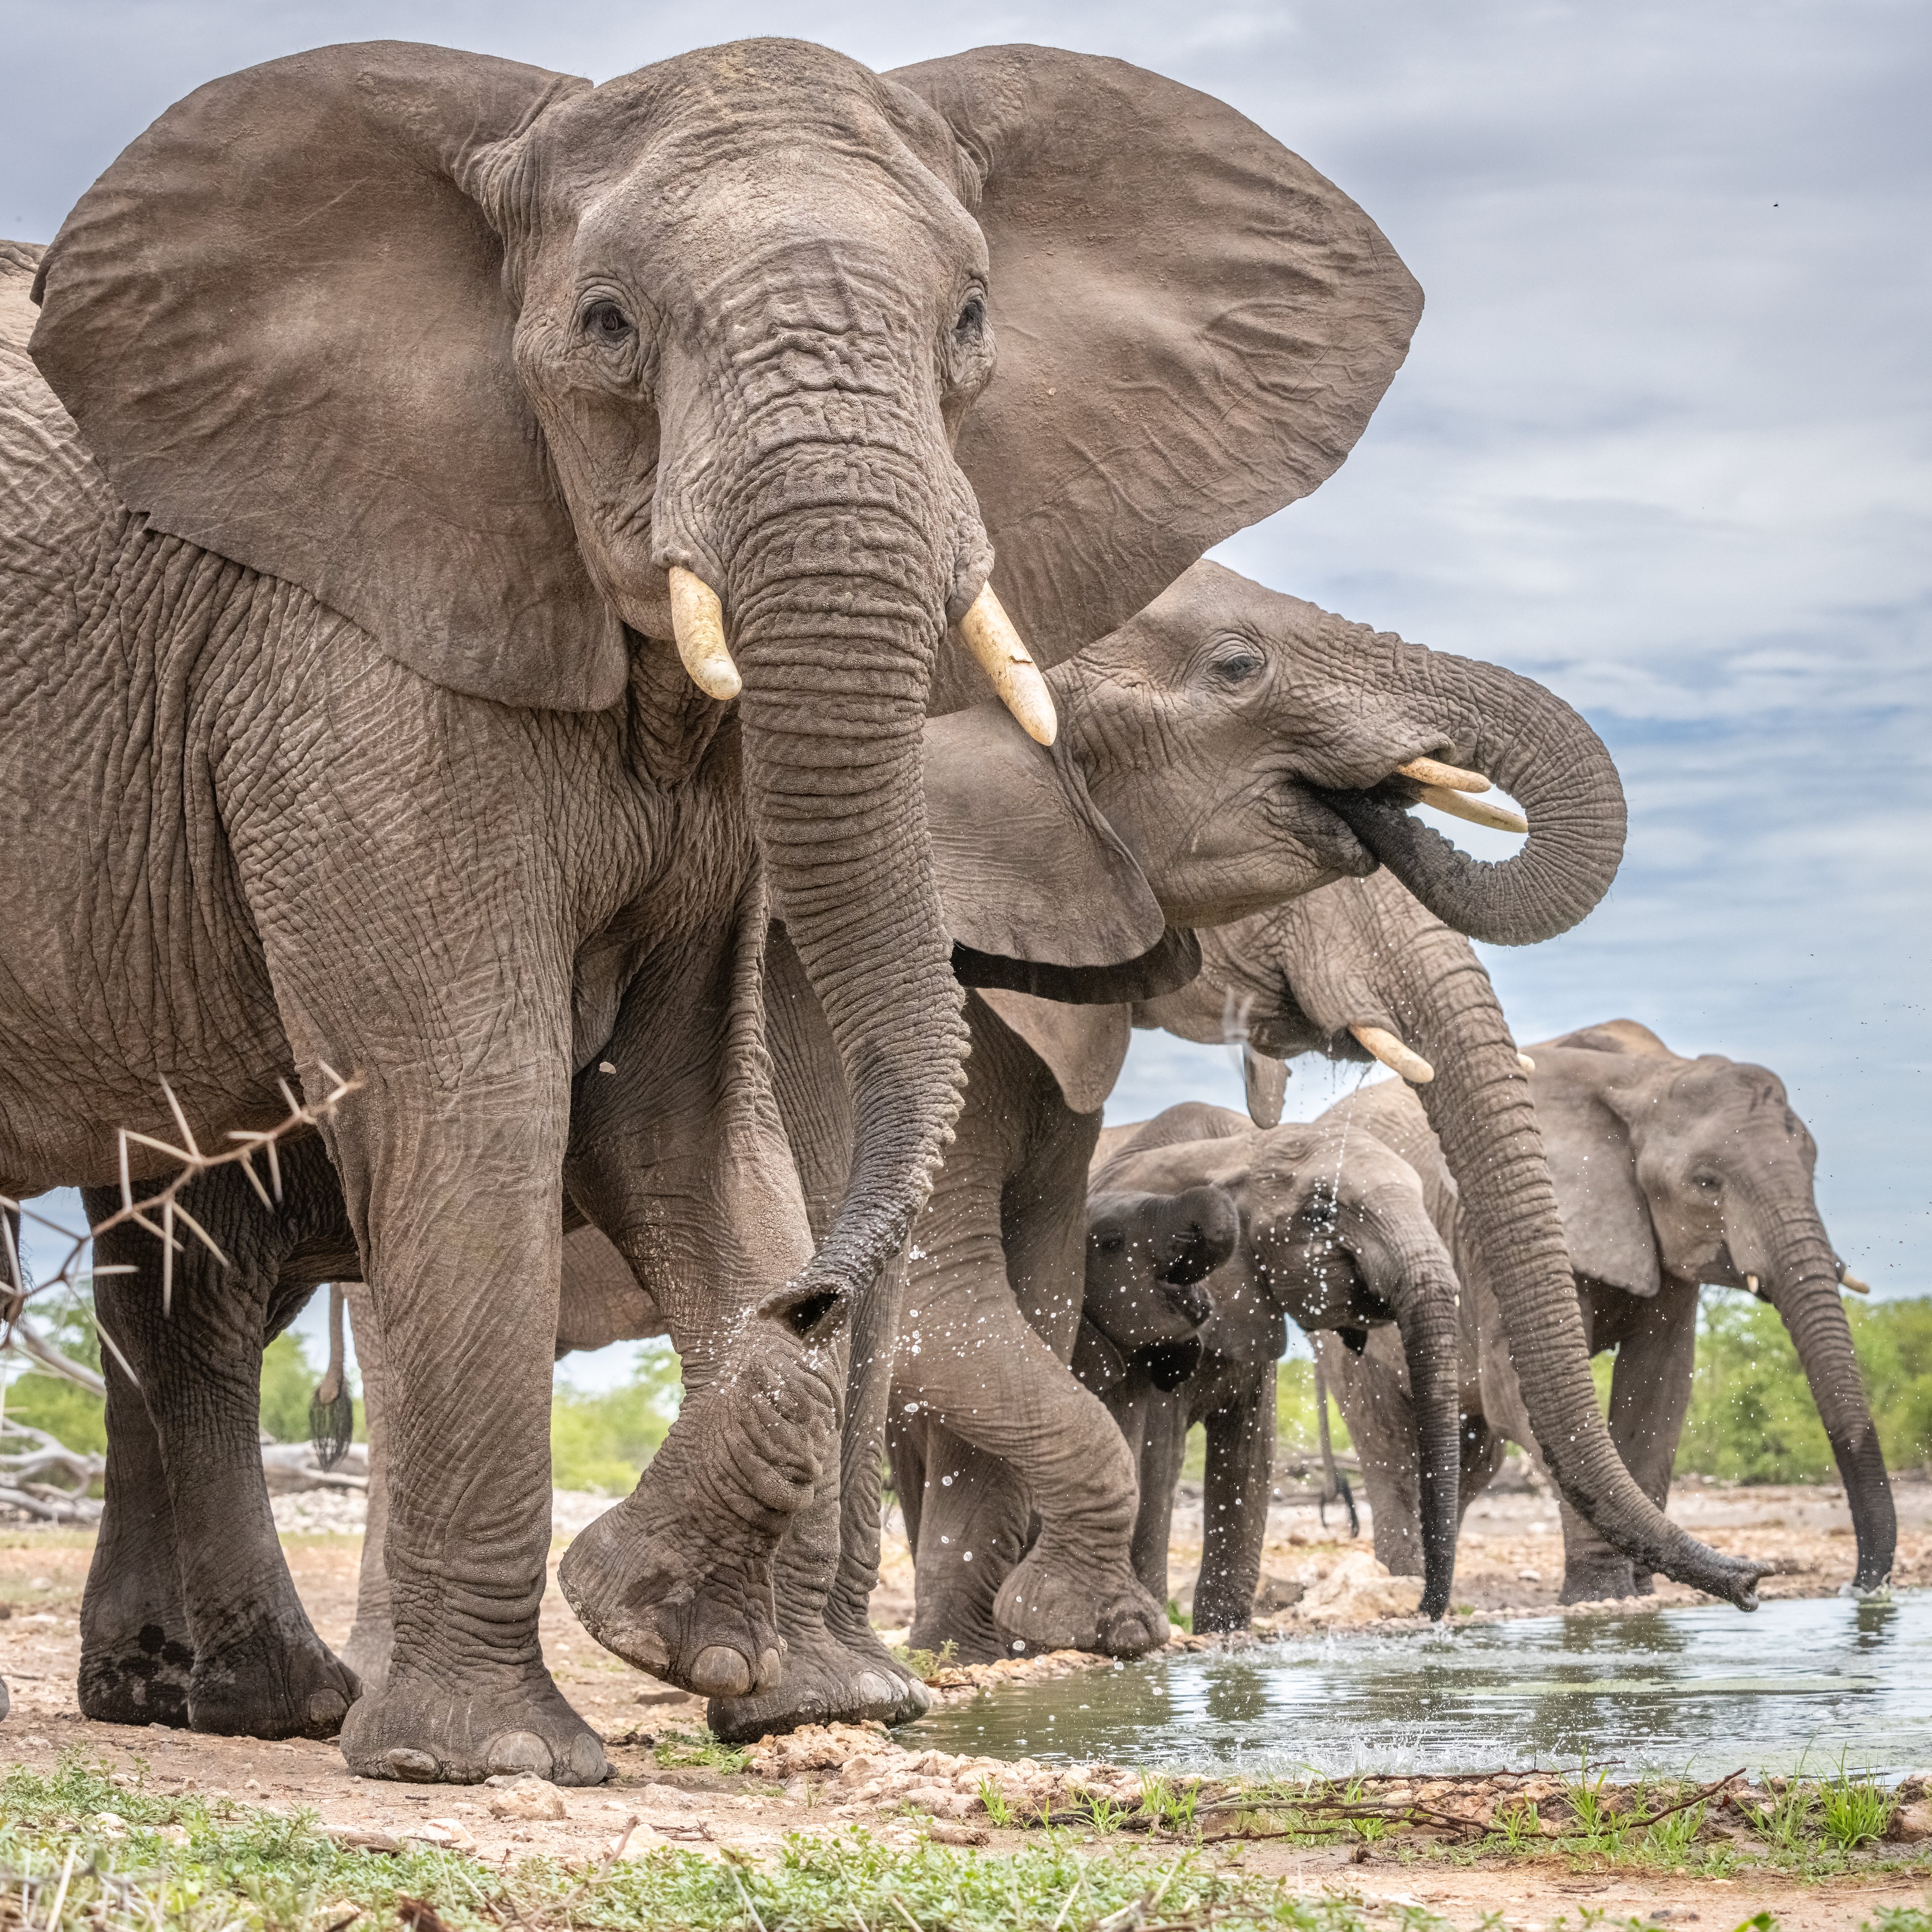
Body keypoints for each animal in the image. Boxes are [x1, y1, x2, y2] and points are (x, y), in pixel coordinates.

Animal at [0, 37, 1422, 1777]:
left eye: (970, 321)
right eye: (607, 326)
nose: (811, 1301)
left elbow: (686, 1116)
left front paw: (778, 1682)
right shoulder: (341, 652)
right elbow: (479, 1089)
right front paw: (500, 1755)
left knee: (179, 1289)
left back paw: (236, 1704)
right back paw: (289, 1707)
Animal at [1074, 1105, 1461, 1630]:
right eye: (1320, 1214)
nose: (1422, 1609)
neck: (1238, 1153)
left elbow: (1250, 1457)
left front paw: (1223, 1631)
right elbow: (1158, 1458)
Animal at [1314, 1027, 1885, 1599]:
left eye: (1813, 1168)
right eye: (1706, 1183)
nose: (1858, 1588)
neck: (1648, 1075)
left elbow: (1659, 1389)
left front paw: (1644, 1594)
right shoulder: (1484, 1241)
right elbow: (1516, 1394)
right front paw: (1604, 1596)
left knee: (1471, 1458)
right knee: (1391, 1451)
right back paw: (1402, 1583)